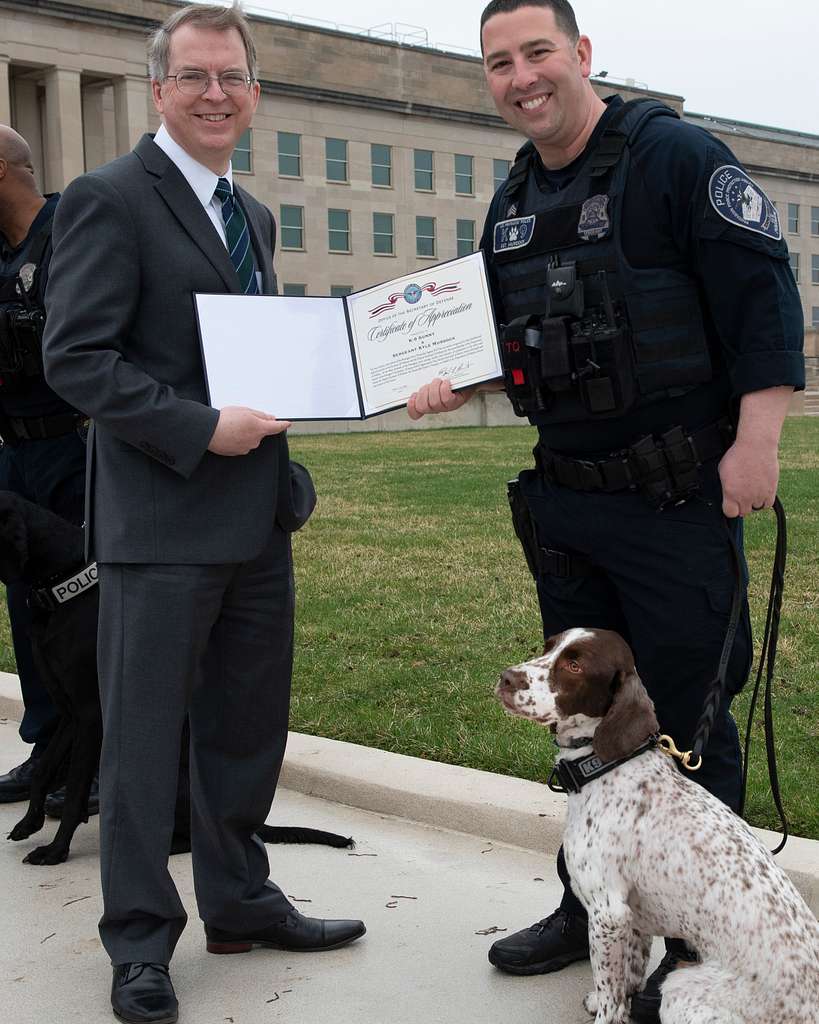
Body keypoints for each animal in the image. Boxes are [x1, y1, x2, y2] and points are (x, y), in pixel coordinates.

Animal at [0, 493, 352, 864]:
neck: (62, 586)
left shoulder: (90, 716)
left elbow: (74, 793)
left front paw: (55, 850)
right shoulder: (70, 714)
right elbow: (44, 769)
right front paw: (29, 822)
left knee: (188, 837)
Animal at [495, 626, 814, 1024]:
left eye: (574, 665)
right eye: (548, 647)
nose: (506, 677)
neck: (607, 765)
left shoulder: (608, 911)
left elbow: (611, 993)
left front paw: (606, 1011)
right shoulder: (629, 919)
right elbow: (625, 981)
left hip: (680, 988)